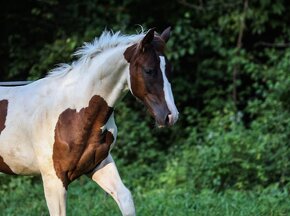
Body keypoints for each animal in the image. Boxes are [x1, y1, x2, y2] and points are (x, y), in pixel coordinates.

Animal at [0, 27, 179, 215]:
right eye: (149, 70)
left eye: (169, 70)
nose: (170, 116)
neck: (73, 112)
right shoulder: (54, 180)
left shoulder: (99, 164)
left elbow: (125, 198)